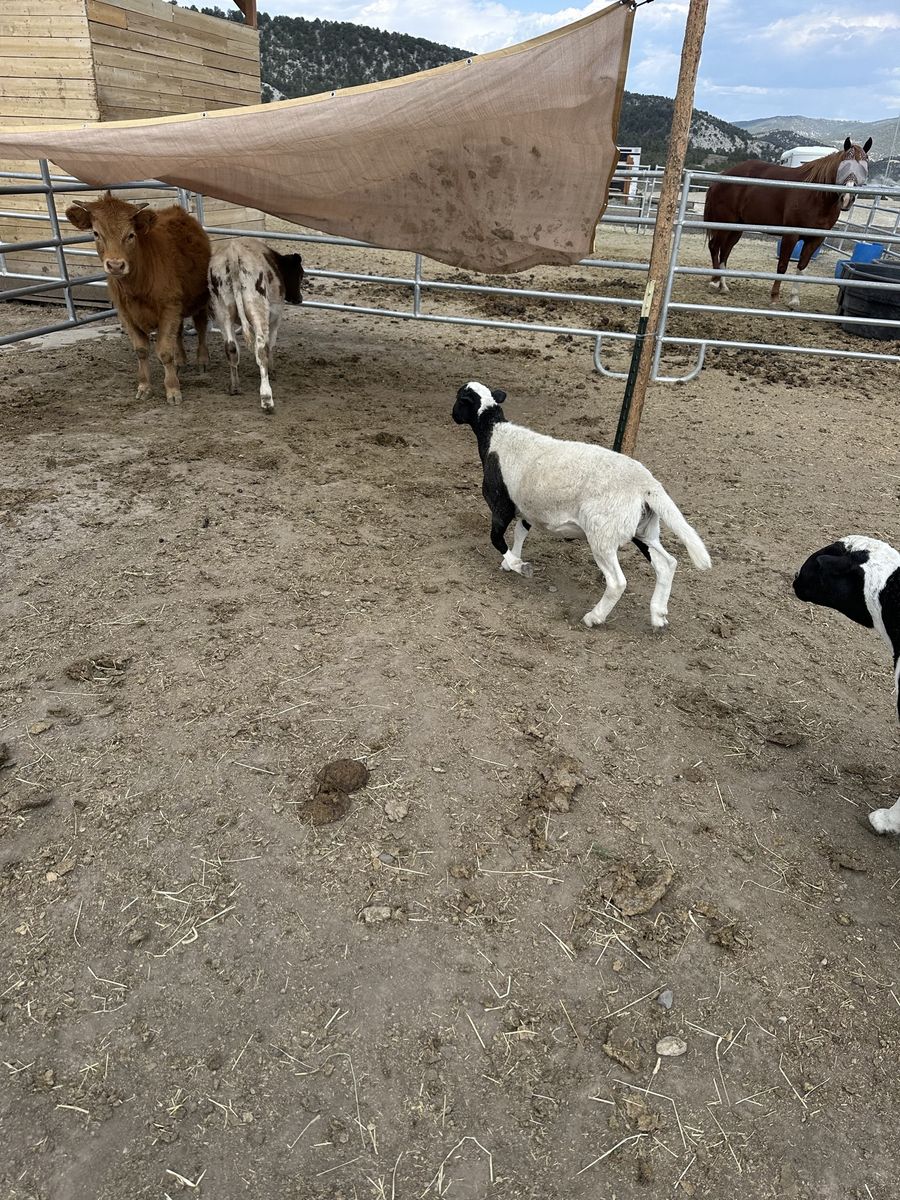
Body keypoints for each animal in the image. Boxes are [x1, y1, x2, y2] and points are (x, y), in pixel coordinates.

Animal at [208, 238, 304, 412]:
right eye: (300, 274)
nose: (299, 299)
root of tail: (233, 255)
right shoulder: (275, 317)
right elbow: (270, 344)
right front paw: (271, 370)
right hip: (257, 309)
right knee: (261, 349)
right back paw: (266, 398)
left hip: (222, 312)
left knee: (231, 348)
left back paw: (234, 387)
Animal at [452, 381, 712, 629]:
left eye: (459, 398)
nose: (453, 415)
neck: (495, 434)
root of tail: (646, 485)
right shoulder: (527, 509)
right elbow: (519, 533)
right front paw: (511, 562)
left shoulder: (500, 504)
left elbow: (496, 539)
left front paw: (519, 566)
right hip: (642, 530)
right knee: (666, 564)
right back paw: (658, 615)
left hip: (602, 533)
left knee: (617, 582)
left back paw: (594, 617)